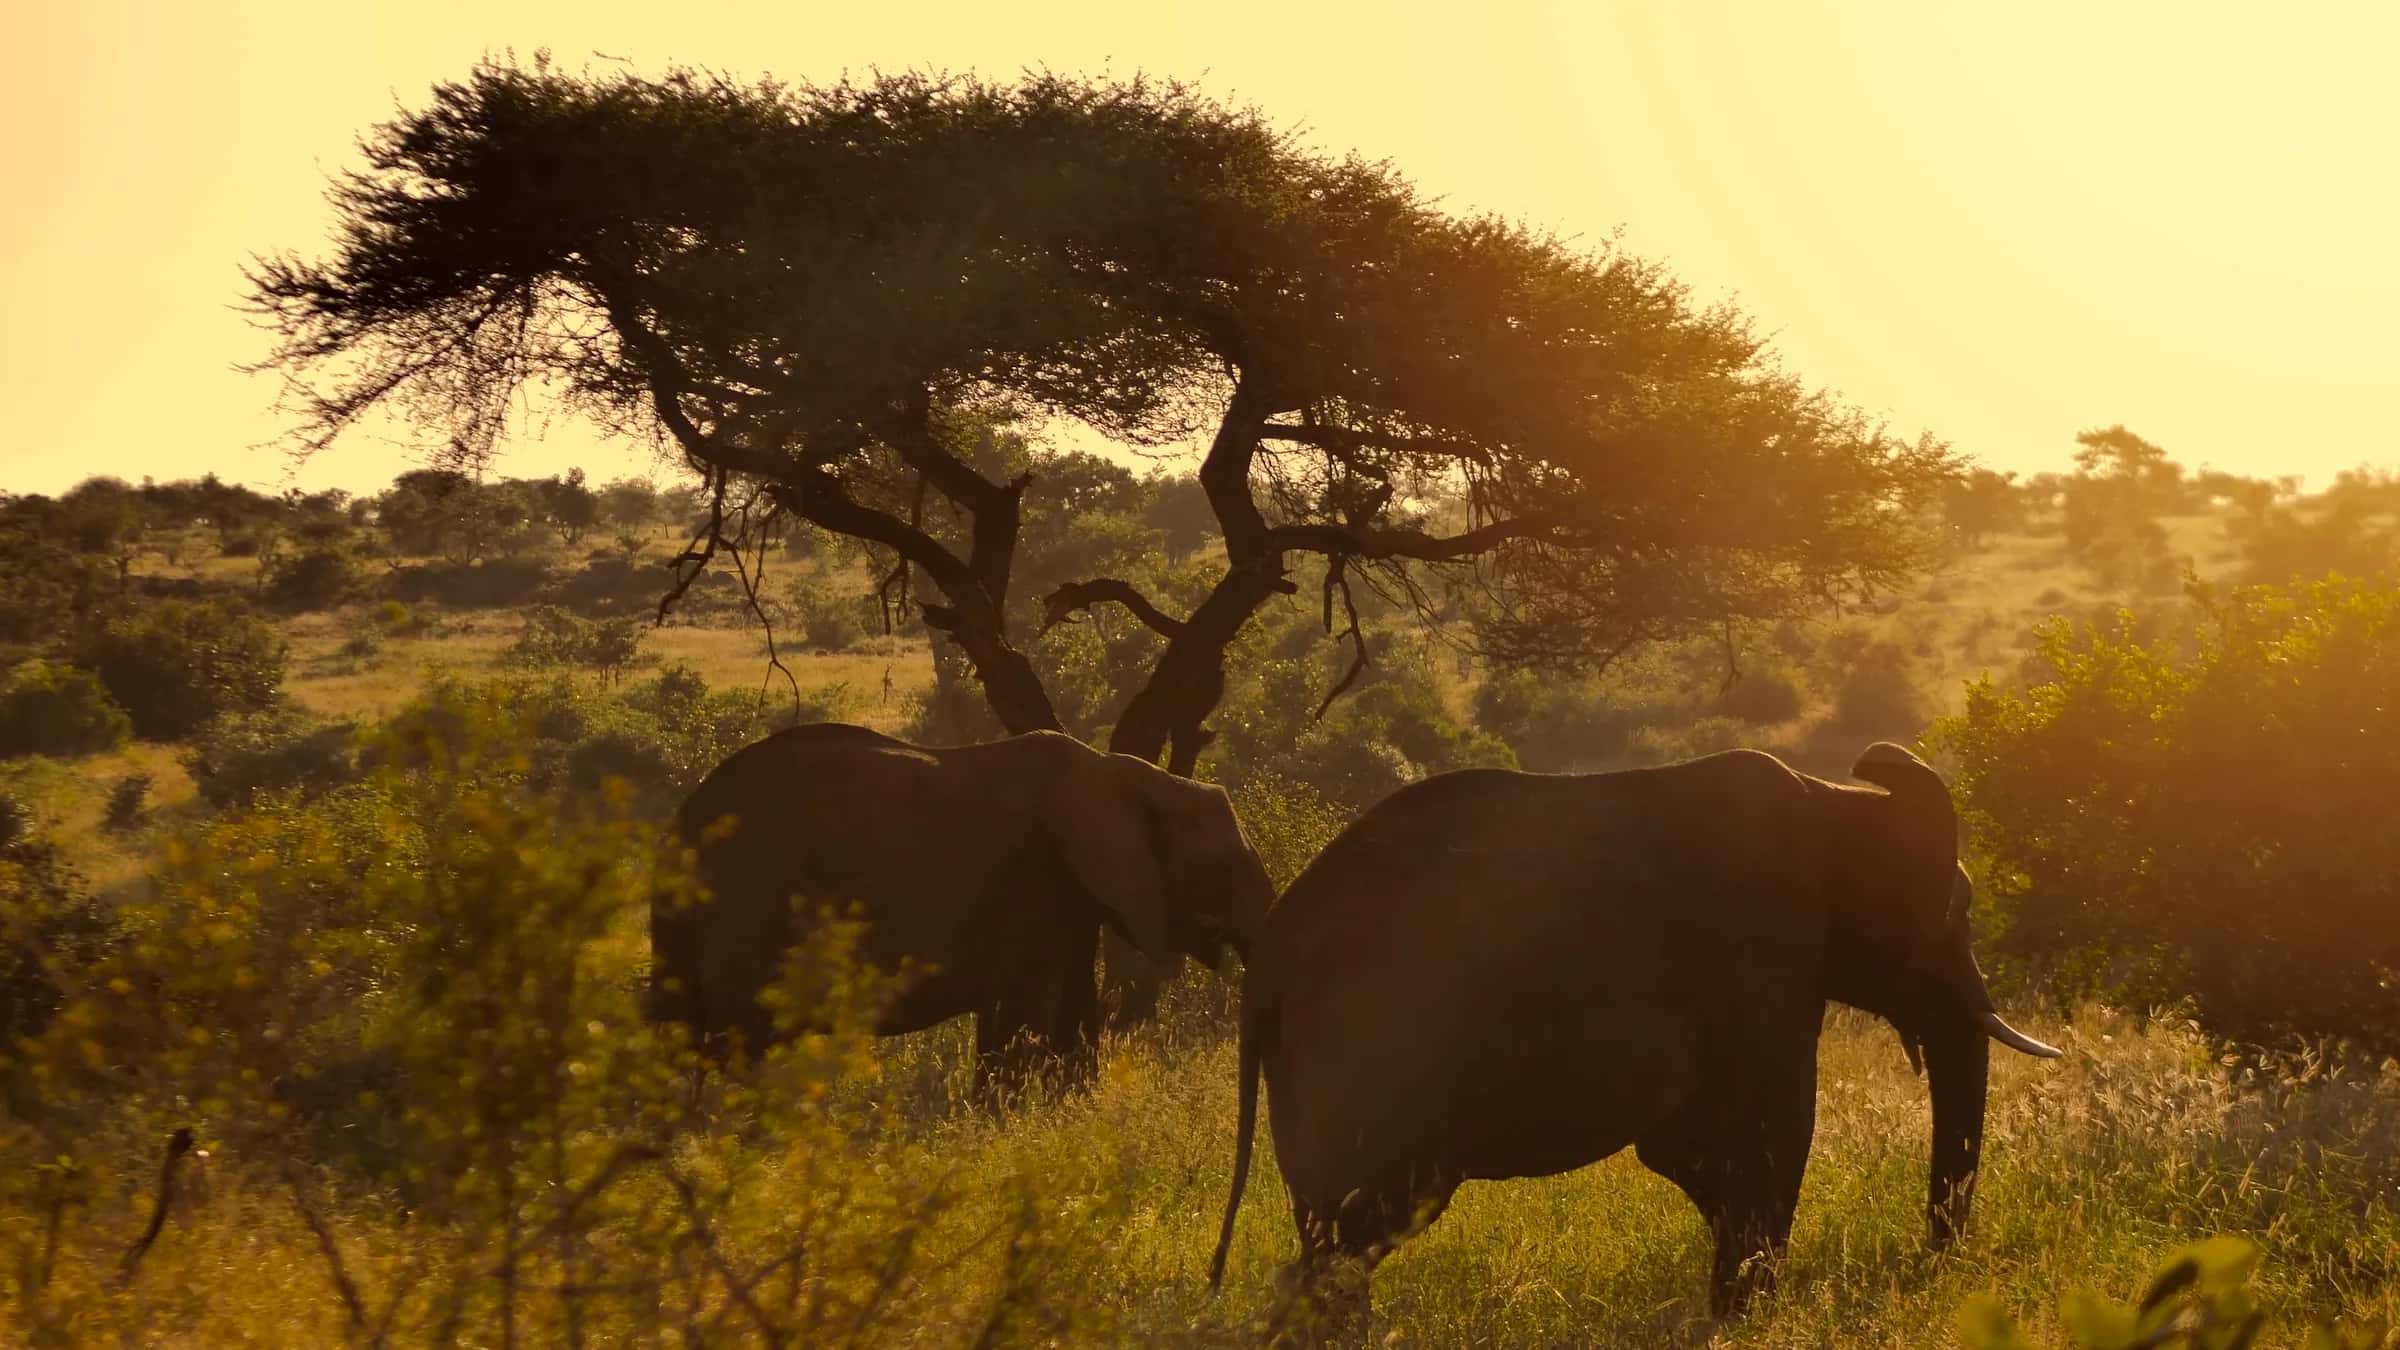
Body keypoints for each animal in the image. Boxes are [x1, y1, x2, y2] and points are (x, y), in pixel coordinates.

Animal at [648, 723, 1273, 1095]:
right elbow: (1021, 1016)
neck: (1125, 772)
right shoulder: (1030, 883)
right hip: (748, 898)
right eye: (1222, 867)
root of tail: (682, 818)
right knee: (742, 1040)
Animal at [1208, 741, 2060, 1328]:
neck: (1839, 802)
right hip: (1372, 1045)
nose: (1932, 1260)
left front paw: (1732, 1309)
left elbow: (1692, 1149)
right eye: (1957, 915)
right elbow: (1771, 1131)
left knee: (1333, 1236)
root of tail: (1269, 954)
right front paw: (1748, 1315)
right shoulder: (1765, 953)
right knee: (1366, 1221)